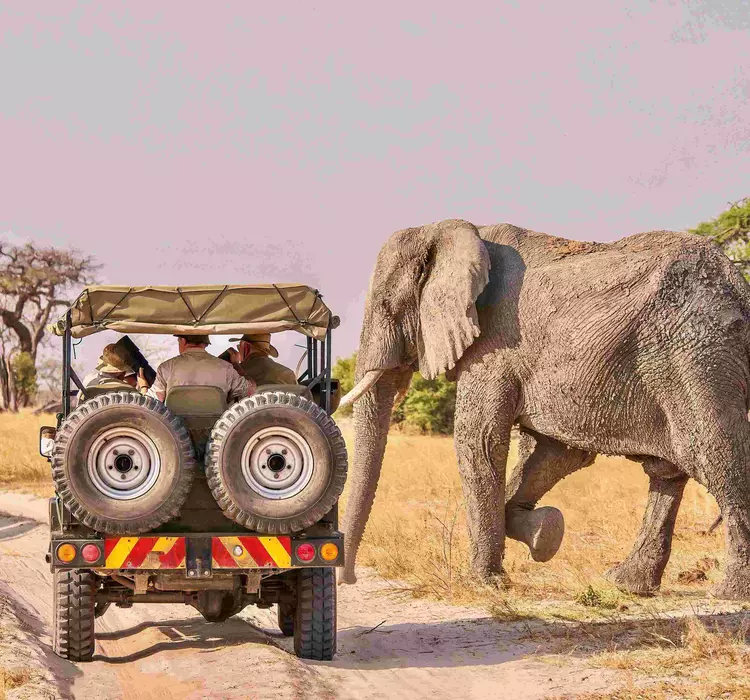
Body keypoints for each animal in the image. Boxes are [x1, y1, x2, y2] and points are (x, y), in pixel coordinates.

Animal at [338, 219, 750, 600]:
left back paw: (729, 594)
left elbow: (479, 442)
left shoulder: (495, 345)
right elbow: (555, 454)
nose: (348, 579)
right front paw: (546, 532)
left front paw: (487, 583)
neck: (452, 230)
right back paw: (625, 584)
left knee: (715, 458)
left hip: (697, 355)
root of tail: (739, 289)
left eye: (387, 306)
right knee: (668, 471)